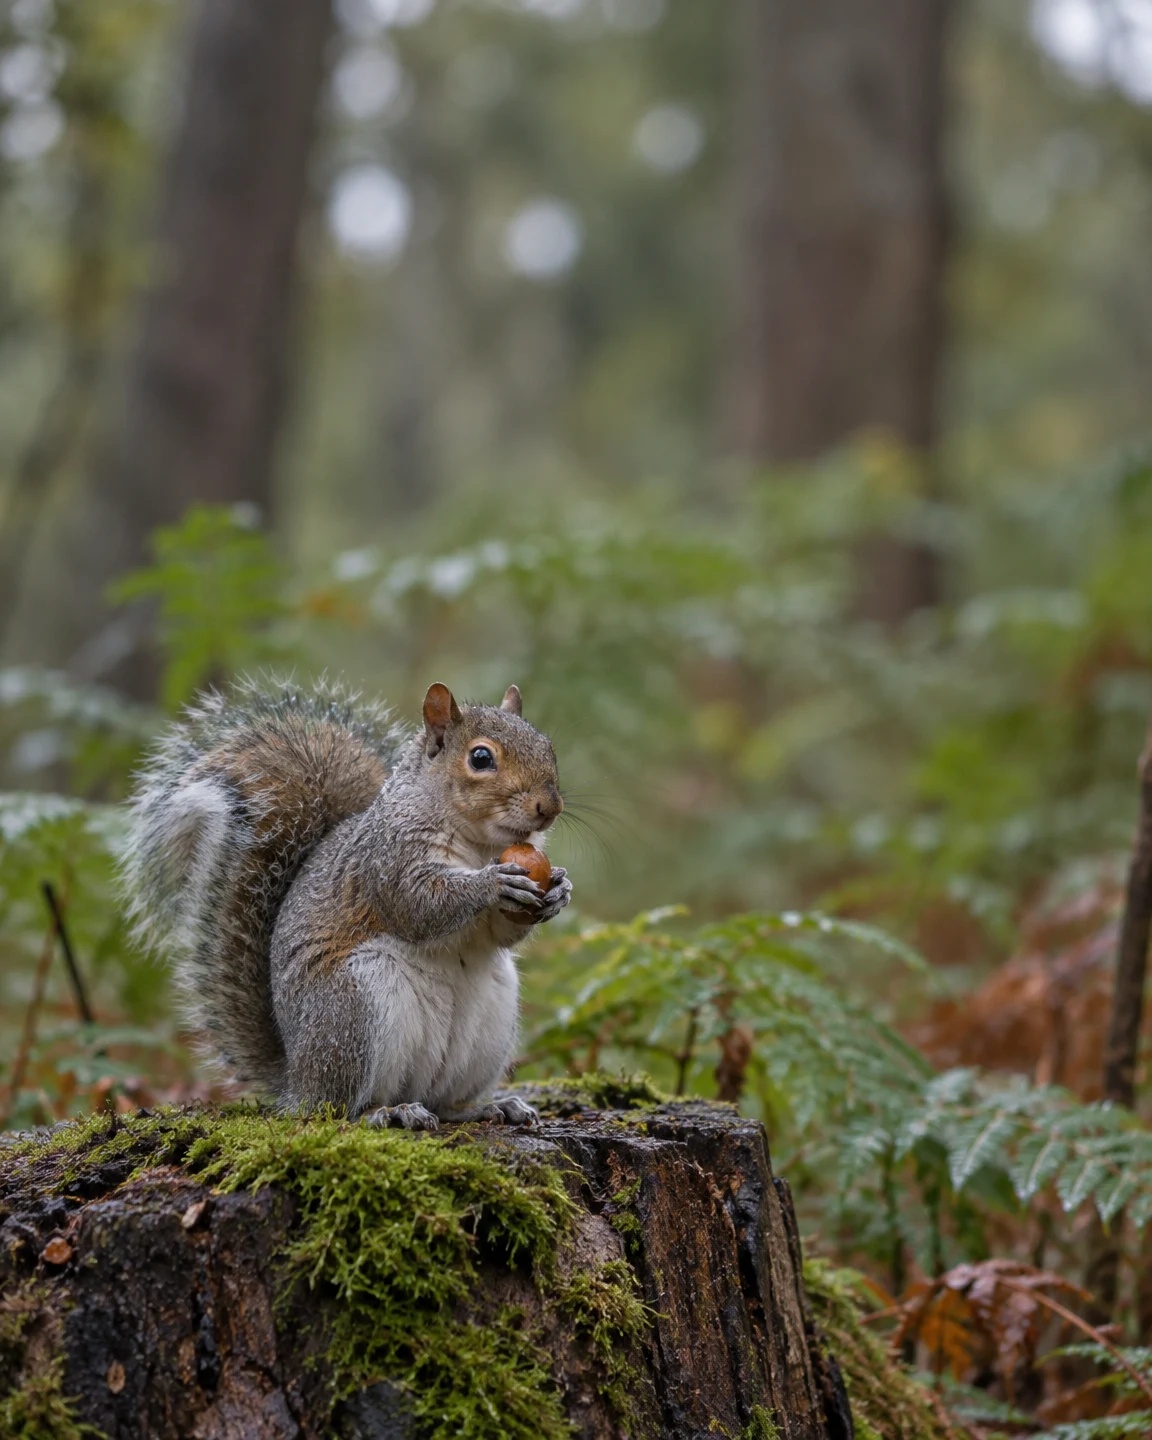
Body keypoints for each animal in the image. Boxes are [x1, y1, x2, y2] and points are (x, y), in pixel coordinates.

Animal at [121, 676, 572, 1130]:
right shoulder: (387, 860)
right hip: (353, 1010)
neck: (480, 844)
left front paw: (559, 891)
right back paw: (387, 1112)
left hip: (488, 1026)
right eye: (480, 758)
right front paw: (492, 883)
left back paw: (487, 1107)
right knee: (338, 1108)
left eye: (548, 746)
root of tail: (296, 1080)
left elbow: (501, 932)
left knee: (443, 1103)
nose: (549, 807)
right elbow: (419, 906)